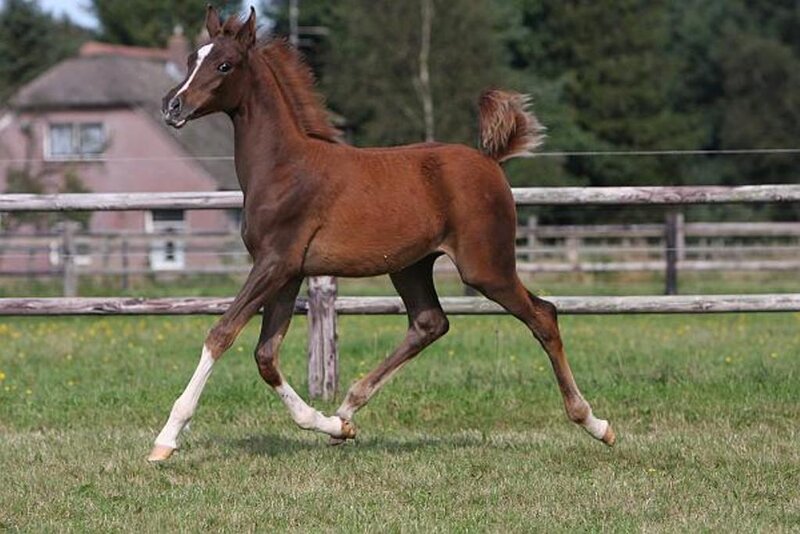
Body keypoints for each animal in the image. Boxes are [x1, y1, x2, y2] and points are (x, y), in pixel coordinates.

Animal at [148, 6, 615, 462]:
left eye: (224, 65)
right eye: (191, 59)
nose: (172, 106)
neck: (284, 166)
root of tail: (489, 161)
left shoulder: (275, 262)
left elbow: (221, 334)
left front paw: (167, 439)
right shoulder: (288, 270)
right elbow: (266, 355)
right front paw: (330, 425)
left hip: (485, 267)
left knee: (543, 315)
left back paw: (595, 424)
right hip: (411, 266)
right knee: (430, 322)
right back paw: (346, 410)